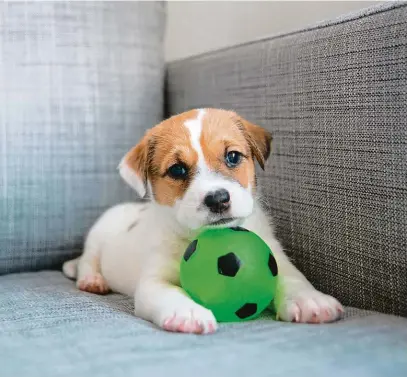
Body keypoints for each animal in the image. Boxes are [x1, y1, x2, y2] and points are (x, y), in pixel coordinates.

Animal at [63, 108, 344, 332]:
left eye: (233, 156)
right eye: (177, 169)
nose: (217, 199)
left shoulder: (276, 257)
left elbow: (293, 278)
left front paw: (310, 300)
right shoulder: (153, 281)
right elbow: (171, 292)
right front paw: (187, 312)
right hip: (98, 234)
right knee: (88, 260)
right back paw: (92, 280)